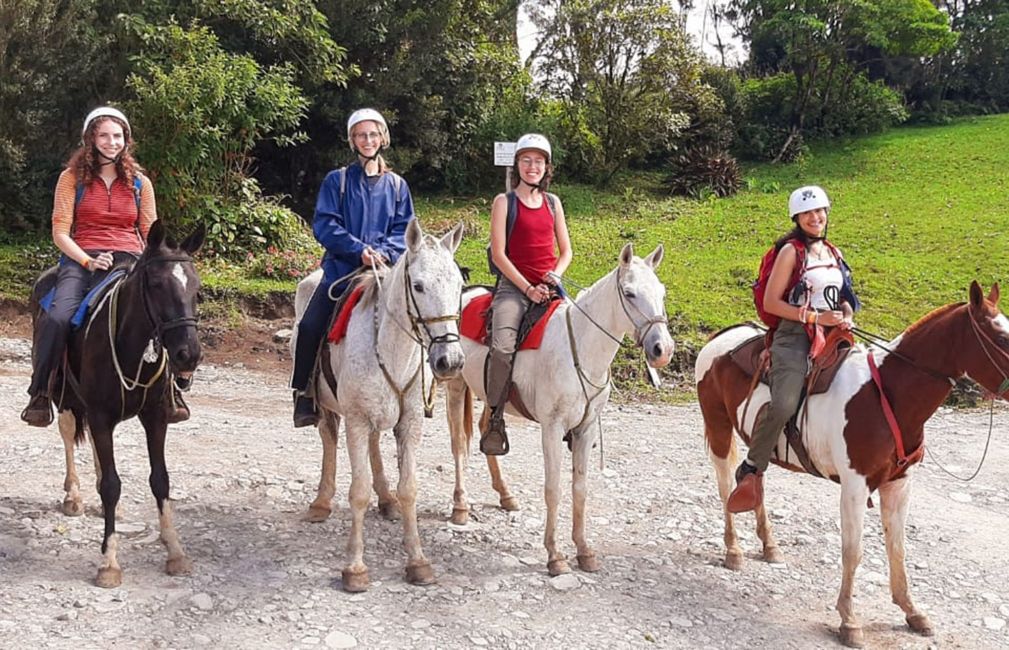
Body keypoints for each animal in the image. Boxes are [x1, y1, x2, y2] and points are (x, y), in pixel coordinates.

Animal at [30, 221, 202, 585]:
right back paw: (74, 495)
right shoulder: (99, 414)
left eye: (197, 289)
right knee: (68, 432)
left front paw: (175, 552)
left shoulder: (155, 417)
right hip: (65, 396)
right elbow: (111, 485)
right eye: (156, 285)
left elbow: (160, 479)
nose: (189, 354)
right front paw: (108, 562)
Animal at [698, 282, 1008, 645]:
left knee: (752, 476)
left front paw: (911, 611)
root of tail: (721, 337)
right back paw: (733, 550)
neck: (888, 395)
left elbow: (898, 548)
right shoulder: (855, 486)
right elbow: (853, 550)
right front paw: (849, 620)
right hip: (718, 425)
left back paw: (769, 545)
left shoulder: (899, 484)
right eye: (1001, 338)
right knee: (725, 486)